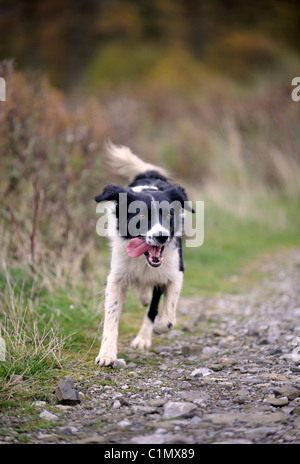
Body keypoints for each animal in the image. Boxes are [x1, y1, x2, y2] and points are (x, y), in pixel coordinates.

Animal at [94, 142, 195, 366]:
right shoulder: (116, 277)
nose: (161, 237)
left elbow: (166, 315)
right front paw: (107, 354)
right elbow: (111, 316)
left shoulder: (175, 272)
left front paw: (154, 330)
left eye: (169, 215)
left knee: (153, 304)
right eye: (140, 216)